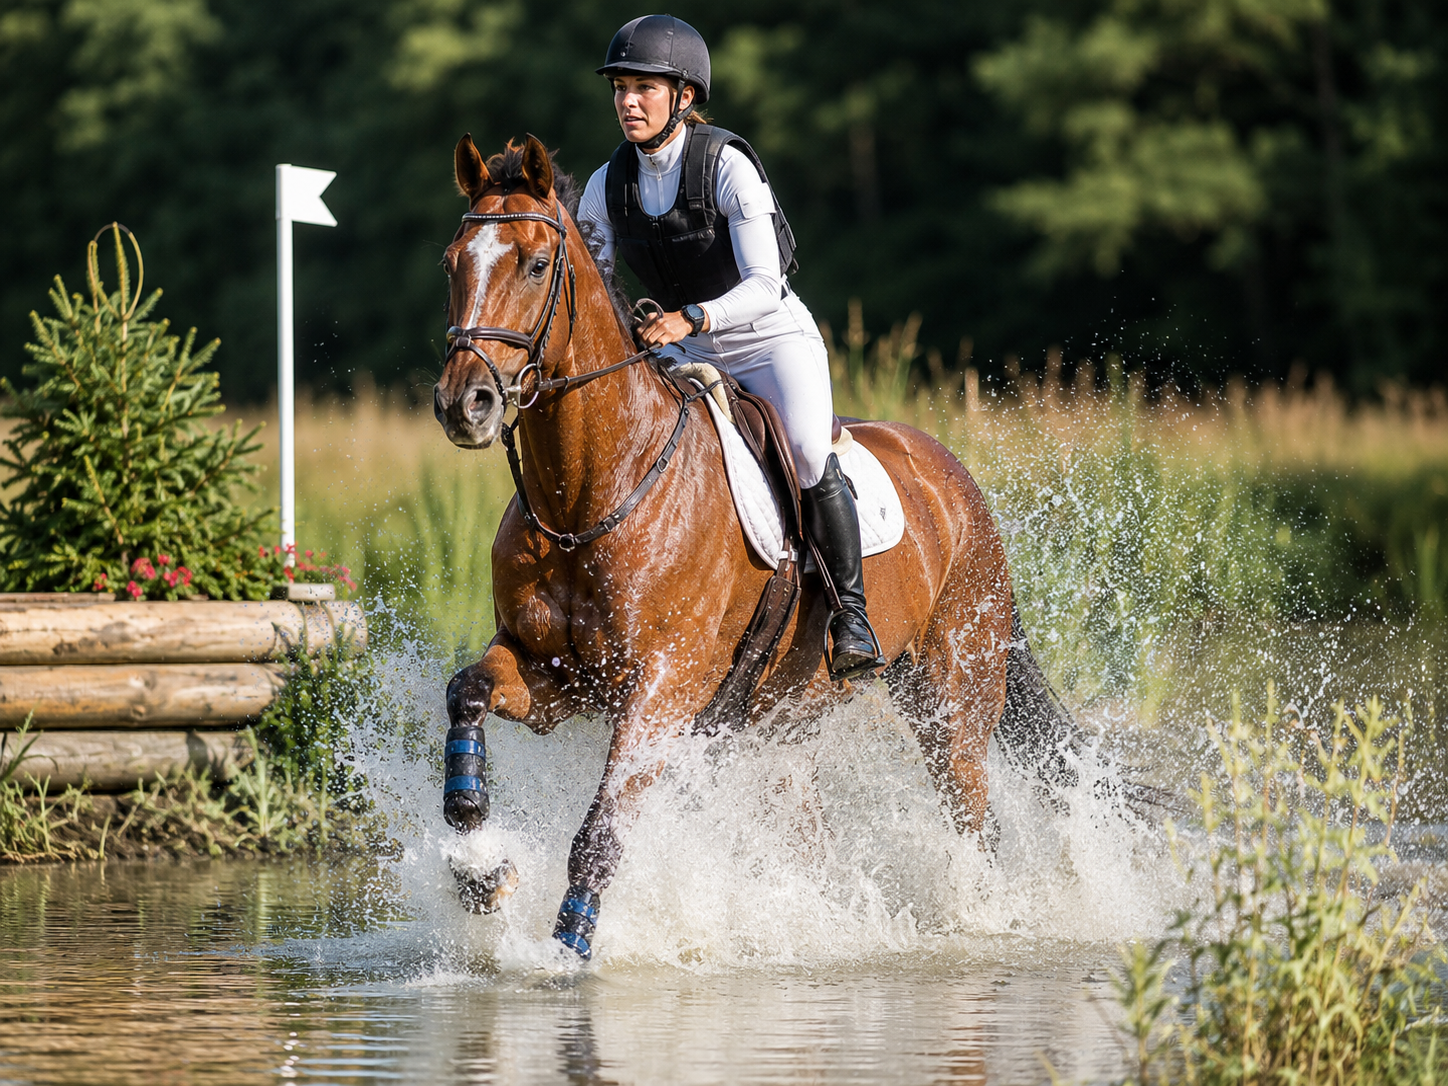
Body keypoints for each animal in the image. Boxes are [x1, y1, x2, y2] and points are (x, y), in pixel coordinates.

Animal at [431, 134, 1076, 959]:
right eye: (454, 261)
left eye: (536, 265)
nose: (465, 403)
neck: (592, 490)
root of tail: (956, 482)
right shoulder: (554, 676)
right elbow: (467, 693)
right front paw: (479, 866)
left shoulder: (659, 691)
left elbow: (601, 835)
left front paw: (567, 950)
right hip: (784, 726)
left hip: (952, 702)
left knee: (971, 819)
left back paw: (973, 921)